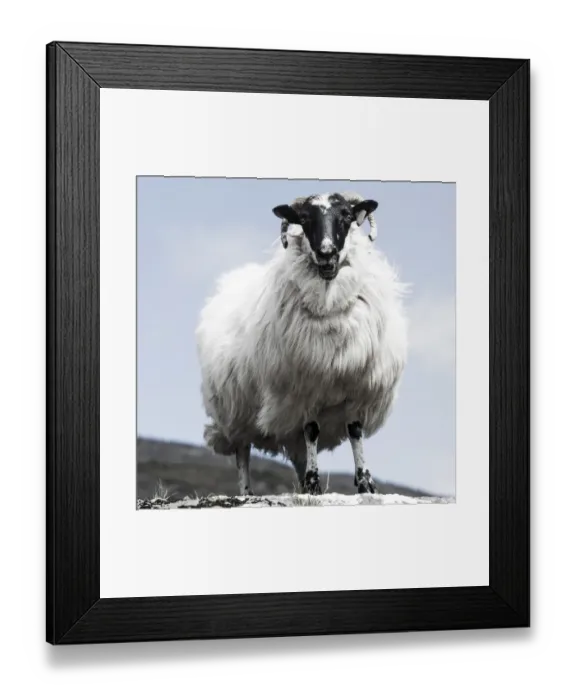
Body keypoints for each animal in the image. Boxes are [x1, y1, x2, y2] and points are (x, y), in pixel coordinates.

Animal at [195, 191, 408, 497]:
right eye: (305, 219)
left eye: (346, 215)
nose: (326, 252)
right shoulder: (304, 389)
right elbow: (311, 430)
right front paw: (313, 481)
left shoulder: (357, 388)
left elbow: (355, 431)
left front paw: (365, 482)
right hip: (236, 410)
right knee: (243, 451)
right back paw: (248, 492)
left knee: (296, 451)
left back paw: (301, 482)